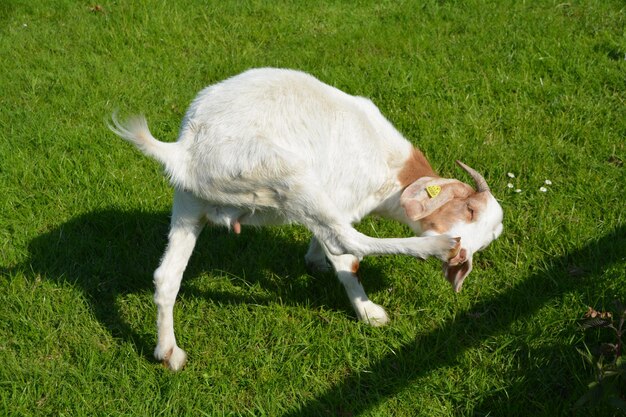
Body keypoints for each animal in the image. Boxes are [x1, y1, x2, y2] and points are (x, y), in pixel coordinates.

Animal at [111, 68, 502, 370]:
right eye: (469, 209)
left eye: (487, 240)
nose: (462, 255)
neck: (390, 164)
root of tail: (187, 148)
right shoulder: (341, 198)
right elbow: (344, 256)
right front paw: (368, 313)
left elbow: (322, 240)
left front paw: (314, 261)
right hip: (286, 175)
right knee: (350, 241)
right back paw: (433, 247)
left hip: (188, 204)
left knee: (166, 276)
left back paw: (169, 353)